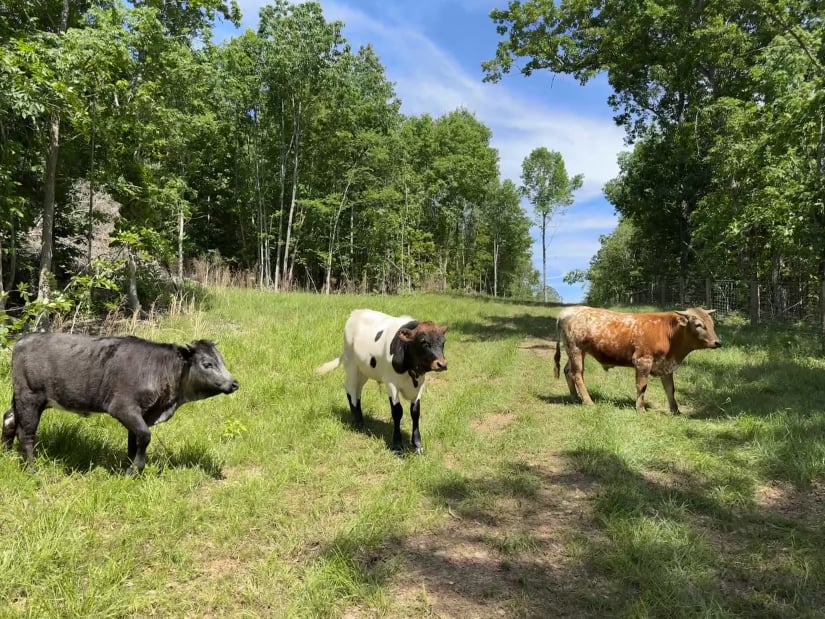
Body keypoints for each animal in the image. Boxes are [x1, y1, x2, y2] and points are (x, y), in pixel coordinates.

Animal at [2, 333, 239, 474]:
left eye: (221, 360)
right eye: (207, 364)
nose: (234, 383)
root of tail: (24, 339)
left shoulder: (142, 414)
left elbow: (134, 440)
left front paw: (130, 465)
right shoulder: (122, 407)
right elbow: (144, 436)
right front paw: (134, 471)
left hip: (23, 400)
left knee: (9, 418)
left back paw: (6, 453)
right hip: (30, 397)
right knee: (26, 433)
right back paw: (31, 469)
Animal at [316, 309, 448, 454]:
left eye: (443, 342)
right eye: (423, 342)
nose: (442, 364)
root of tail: (356, 312)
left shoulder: (420, 384)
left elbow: (415, 412)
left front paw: (417, 445)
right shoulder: (391, 383)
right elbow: (397, 412)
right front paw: (397, 446)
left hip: (364, 370)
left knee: (358, 391)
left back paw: (361, 421)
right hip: (351, 365)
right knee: (350, 389)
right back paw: (357, 423)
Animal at [553, 306, 721, 414]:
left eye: (712, 324)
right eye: (698, 324)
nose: (718, 342)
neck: (670, 335)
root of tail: (568, 311)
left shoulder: (666, 366)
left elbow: (670, 389)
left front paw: (675, 411)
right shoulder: (642, 361)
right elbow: (642, 386)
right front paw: (640, 408)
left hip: (576, 352)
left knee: (567, 371)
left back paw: (575, 398)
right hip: (575, 349)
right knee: (577, 374)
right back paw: (588, 401)